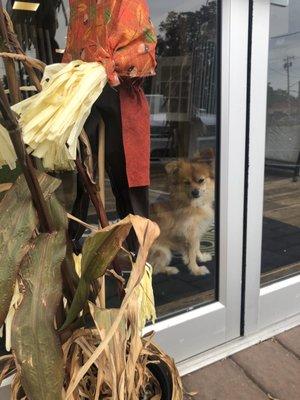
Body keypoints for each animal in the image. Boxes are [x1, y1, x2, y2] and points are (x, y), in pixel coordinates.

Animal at [149, 148, 214, 276]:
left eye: (201, 180)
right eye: (186, 183)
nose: (195, 192)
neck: (194, 204)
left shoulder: (196, 233)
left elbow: (197, 248)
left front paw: (201, 258)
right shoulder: (190, 234)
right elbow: (192, 253)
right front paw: (196, 269)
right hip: (164, 251)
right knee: (154, 269)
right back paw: (170, 269)